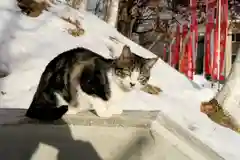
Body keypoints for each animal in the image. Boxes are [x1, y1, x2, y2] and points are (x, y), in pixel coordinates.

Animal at [25, 44, 158, 120]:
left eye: (141, 77)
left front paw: (114, 109)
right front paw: (104, 112)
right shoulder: (85, 81)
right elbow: (97, 99)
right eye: (128, 72)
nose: (132, 84)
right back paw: (71, 109)